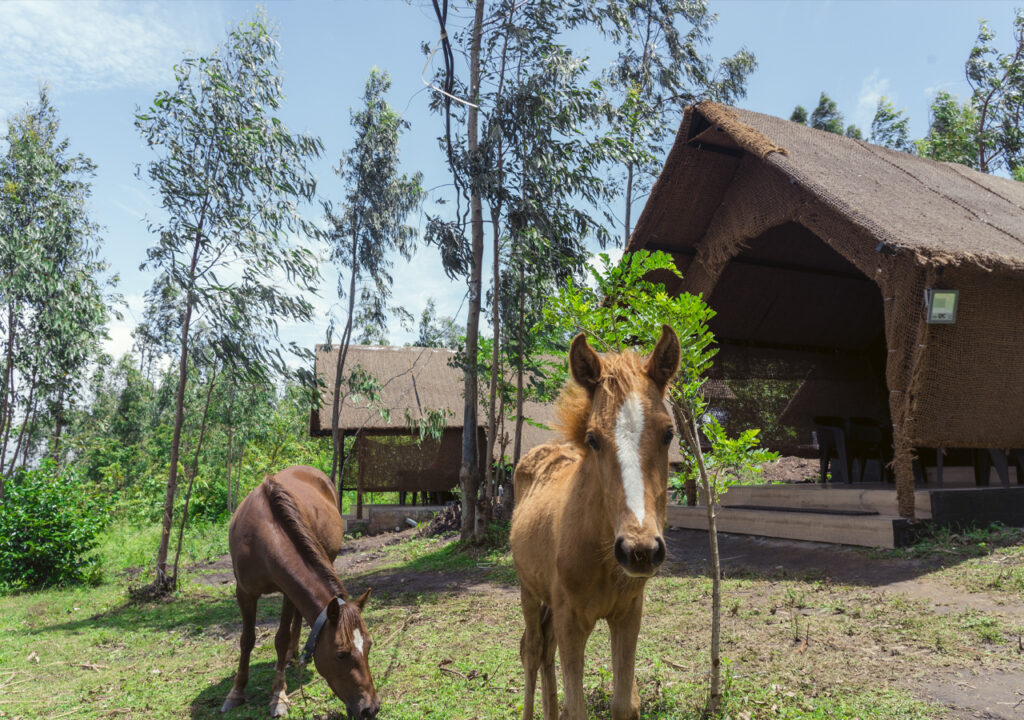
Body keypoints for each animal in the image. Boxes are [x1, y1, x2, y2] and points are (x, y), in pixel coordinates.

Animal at [223, 464, 380, 716]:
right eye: (341, 654)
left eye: (369, 645)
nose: (370, 708)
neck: (264, 535)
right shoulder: (244, 593)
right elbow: (246, 640)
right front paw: (236, 693)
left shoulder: (288, 590)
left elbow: (281, 638)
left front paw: (278, 695)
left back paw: (292, 654)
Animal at [509, 327, 679, 720]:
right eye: (593, 438)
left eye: (668, 433)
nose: (639, 550)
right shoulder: (571, 620)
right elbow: (576, 707)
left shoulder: (628, 613)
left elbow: (624, 704)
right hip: (528, 590)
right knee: (532, 648)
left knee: (545, 648)